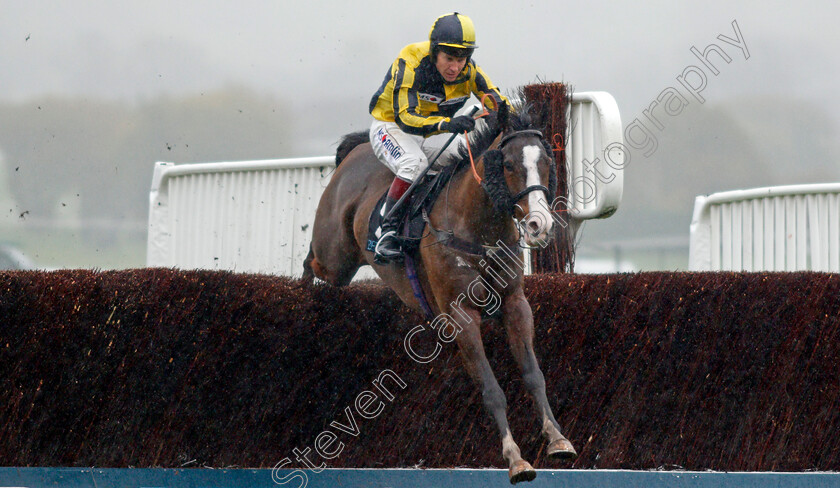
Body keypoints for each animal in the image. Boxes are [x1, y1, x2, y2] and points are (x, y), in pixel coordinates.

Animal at [304, 101, 576, 482]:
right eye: (508, 164)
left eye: (547, 163)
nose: (540, 225)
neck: (477, 228)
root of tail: (354, 152)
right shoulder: (461, 315)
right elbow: (491, 389)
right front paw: (515, 458)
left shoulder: (515, 303)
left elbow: (534, 375)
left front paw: (558, 438)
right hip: (335, 258)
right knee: (311, 262)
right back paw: (300, 291)